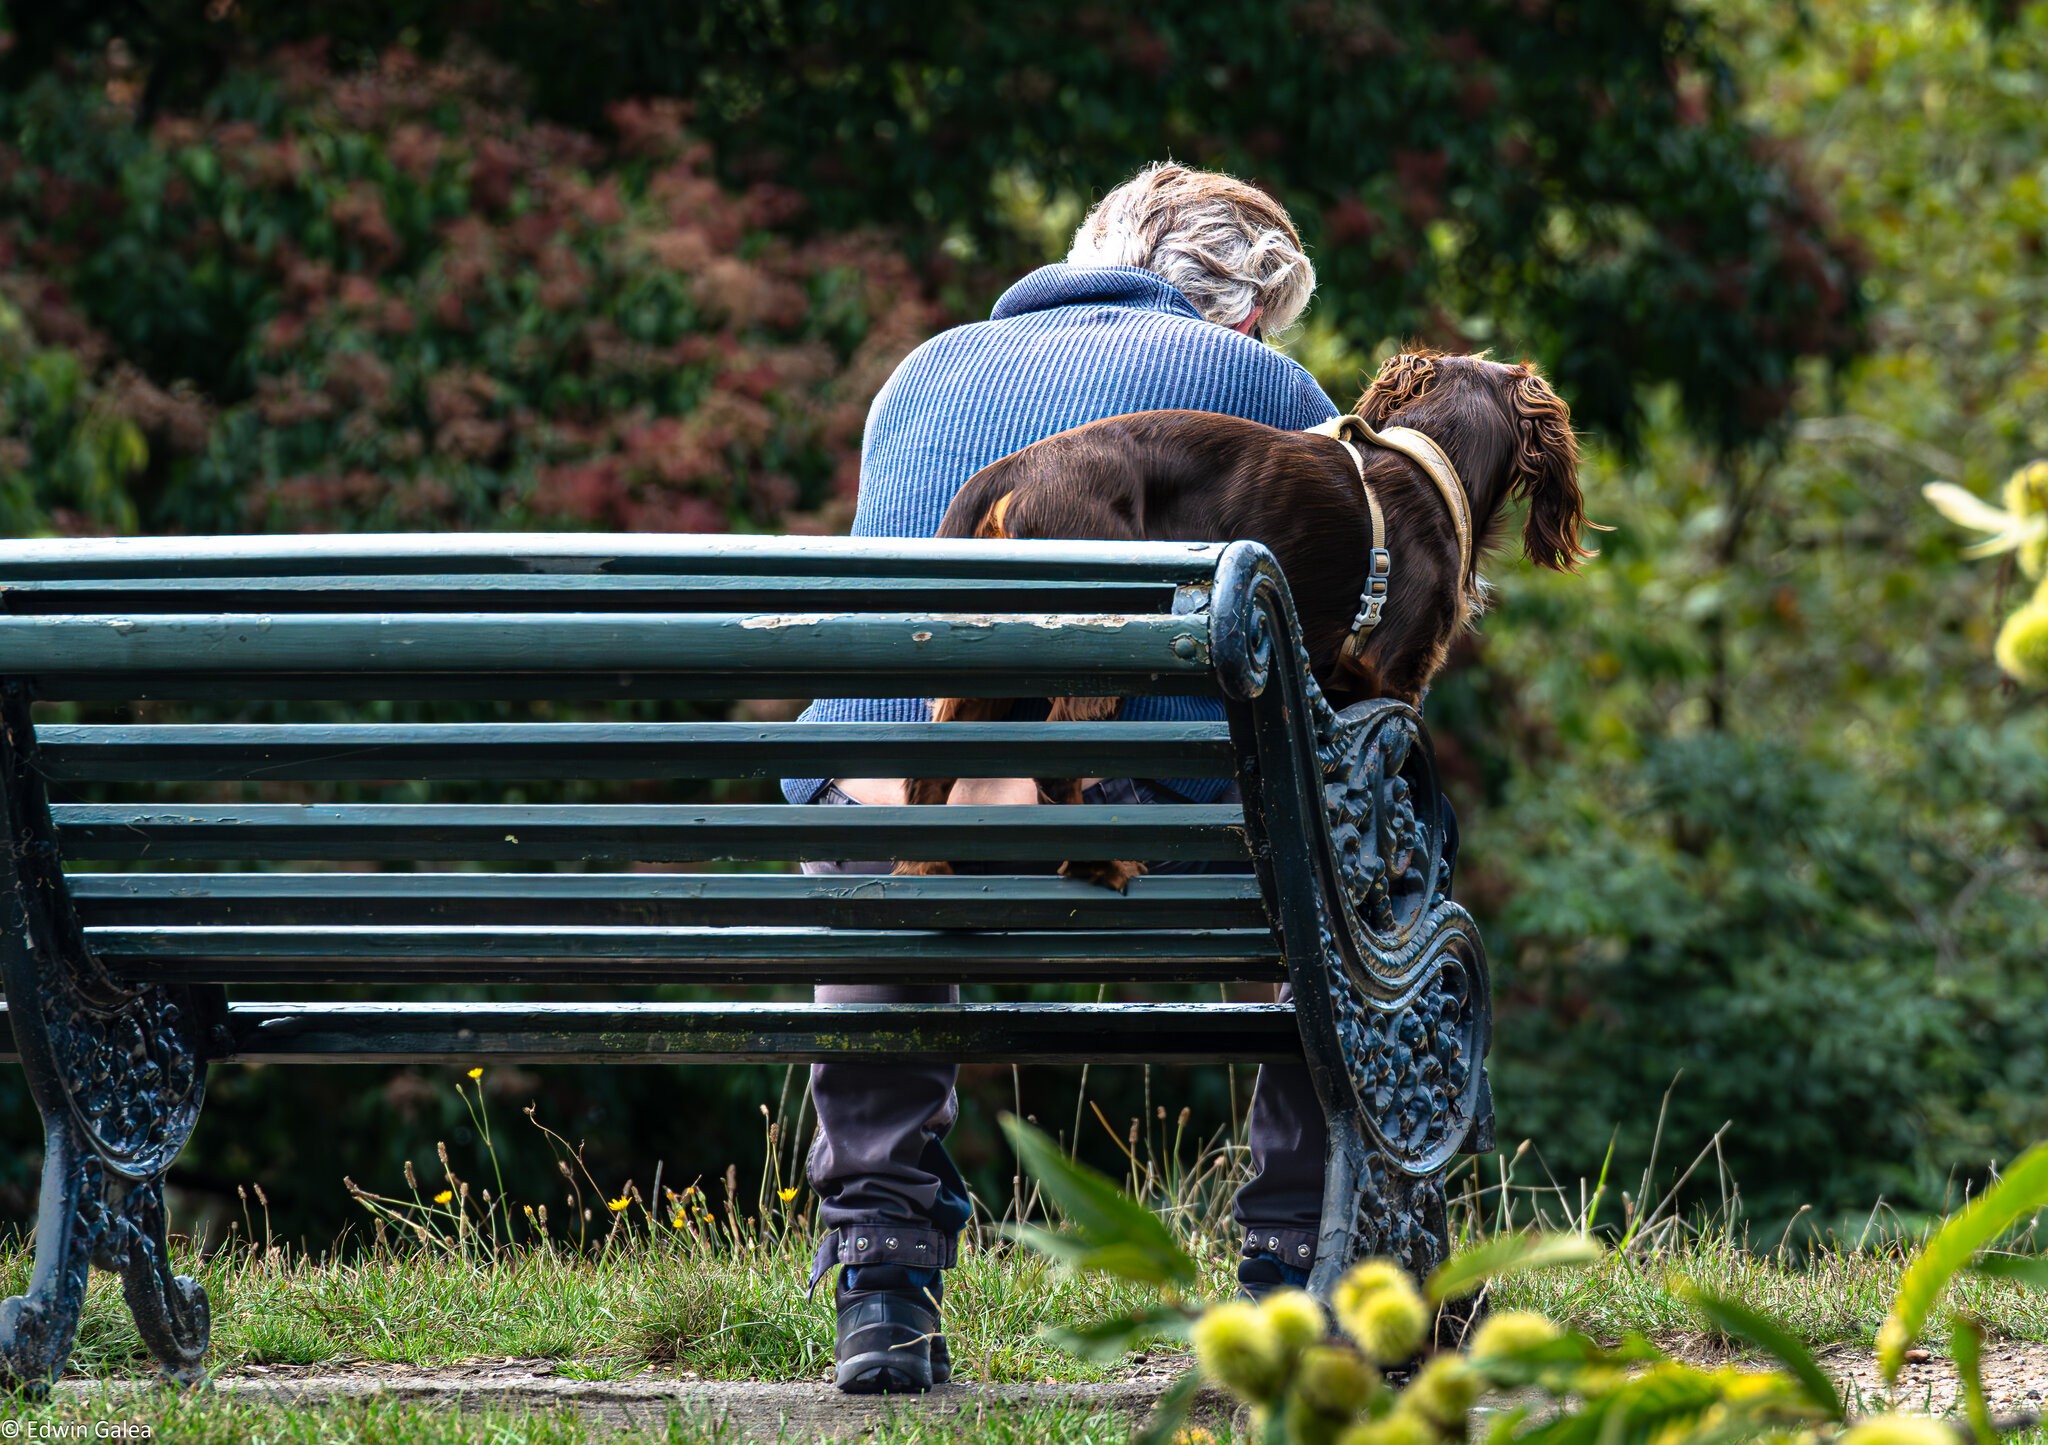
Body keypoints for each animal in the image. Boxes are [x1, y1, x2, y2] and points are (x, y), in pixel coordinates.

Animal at [897, 347, 1581, 884]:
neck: (1433, 466)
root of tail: (1009, 471)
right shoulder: (1397, 679)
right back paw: (1101, 866)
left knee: (936, 761)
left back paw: (922, 869)